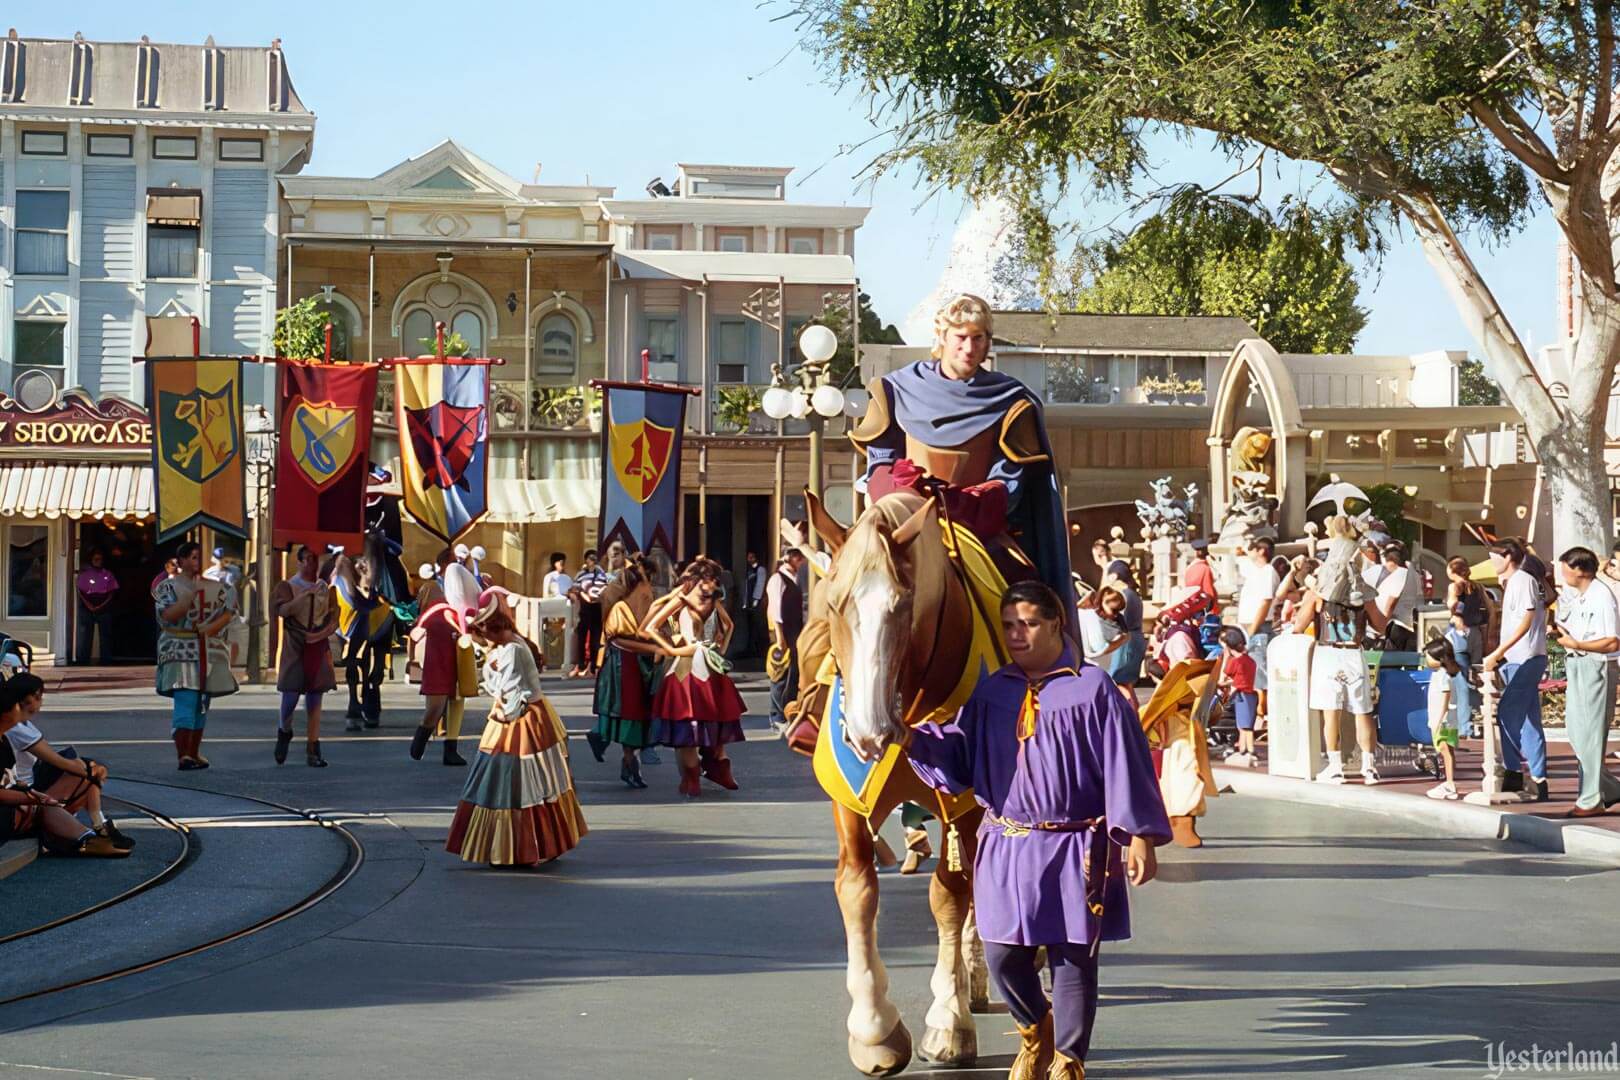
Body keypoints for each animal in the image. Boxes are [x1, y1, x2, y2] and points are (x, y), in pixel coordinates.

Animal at [800, 492, 997, 1080]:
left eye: (903, 606)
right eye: (833, 604)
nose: (869, 732)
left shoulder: (963, 804)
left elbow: (951, 896)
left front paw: (948, 1021)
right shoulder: (848, 795)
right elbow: (857, 890)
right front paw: (874, 1030)